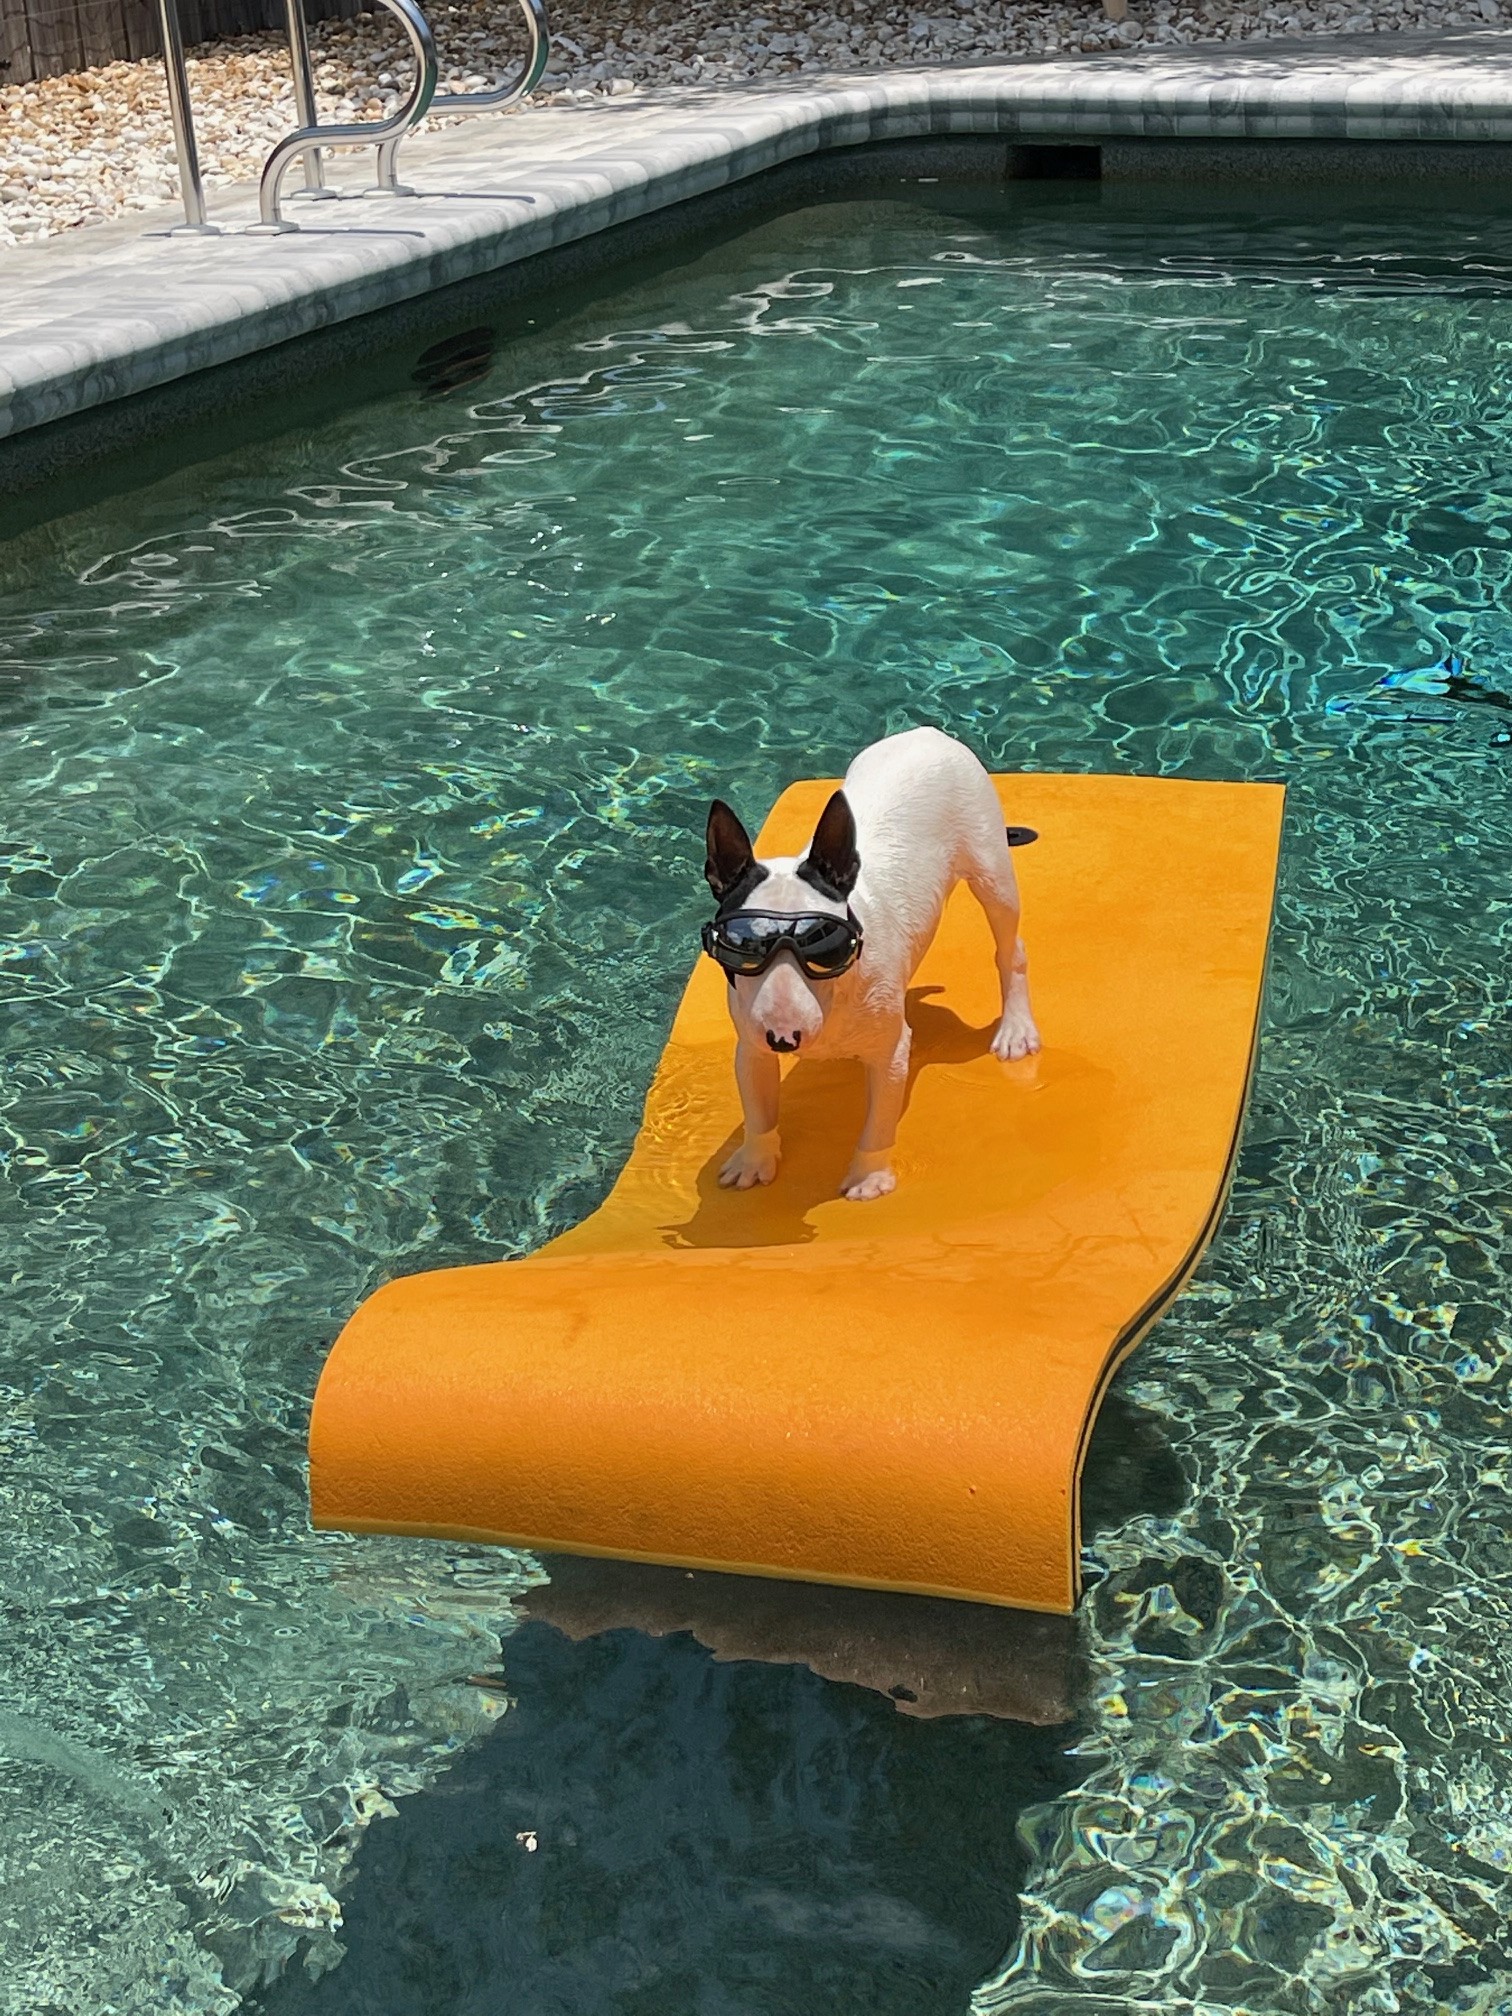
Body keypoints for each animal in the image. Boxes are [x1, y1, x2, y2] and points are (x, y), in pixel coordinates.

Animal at [701, 727, 1040, 1202]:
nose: (784, 1038)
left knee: (1010, 944)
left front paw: (869, 1175)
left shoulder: (891, 1051)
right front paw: (755, 1158)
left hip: (990, 864)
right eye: (741, 945)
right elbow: (758, 1103)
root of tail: (928, 732)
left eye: (821, 940)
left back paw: (1015, 1028)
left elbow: (878, 1119)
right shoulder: (749, 1043)